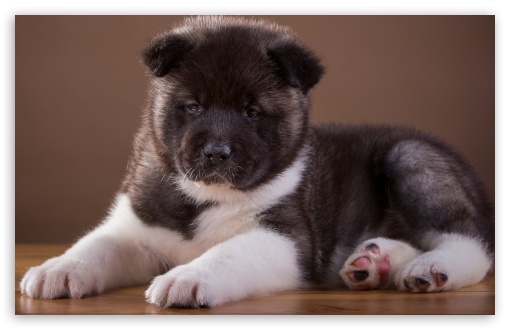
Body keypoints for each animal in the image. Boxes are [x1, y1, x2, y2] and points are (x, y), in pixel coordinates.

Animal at [19, 16, 494, 308]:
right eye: (193, 106)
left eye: (251, 112)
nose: (216, 152)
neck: (206, 196)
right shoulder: (138, 228)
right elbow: (97, 244)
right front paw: (58, 267)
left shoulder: (286, 240)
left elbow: (228, 252)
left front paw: (190, 277)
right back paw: (372, 262)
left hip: (411, 157)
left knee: (471, 243)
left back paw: (429, 268)